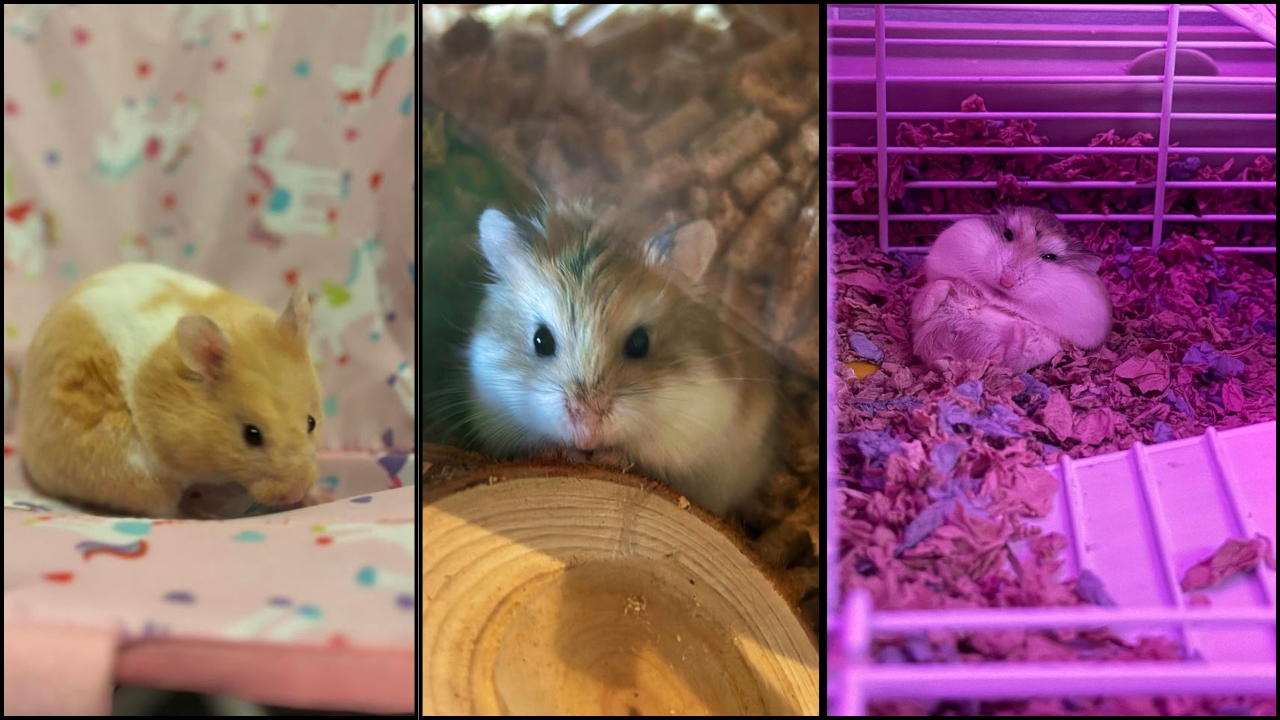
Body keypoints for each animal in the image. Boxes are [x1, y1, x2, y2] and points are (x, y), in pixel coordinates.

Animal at [464, 200, 780, 517]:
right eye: (541, 340)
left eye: (640, 343)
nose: (587, 433)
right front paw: (564, 452)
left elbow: (640, 453)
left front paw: (605, 456)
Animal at [911, 206, 1112, 374]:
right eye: (1007, 234)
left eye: (1050, 257)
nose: (1006, 281)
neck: (999, 295)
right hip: (929, 321)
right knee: (925, 309)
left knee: (1011, 353)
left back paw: (1017, 332)